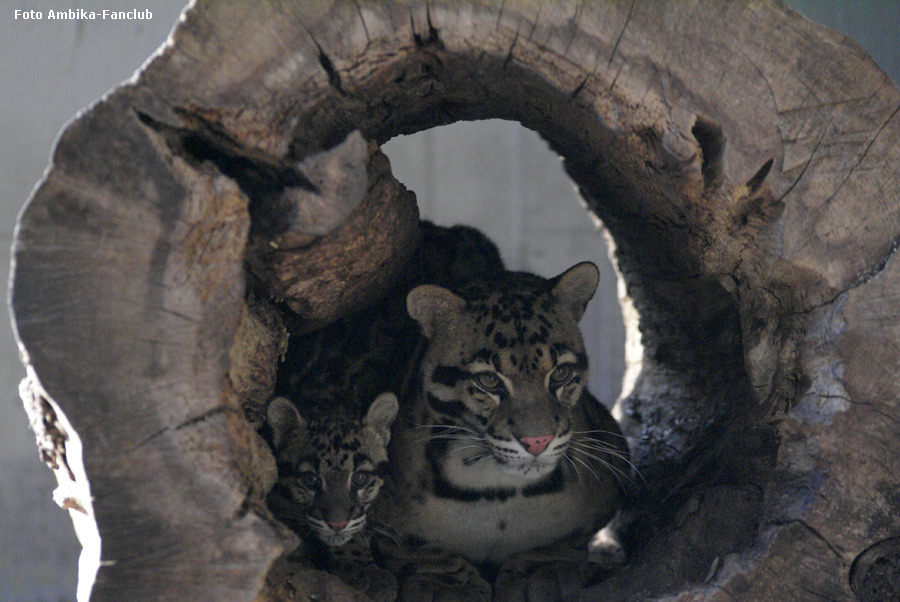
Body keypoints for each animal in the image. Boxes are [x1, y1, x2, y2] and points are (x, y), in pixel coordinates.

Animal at [376, 262, 628, 600]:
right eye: (489, 381)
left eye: (561, 373)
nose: (538, 441)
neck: (499, 492)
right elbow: (416, 549)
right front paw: (446, 585)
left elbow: (565, 541)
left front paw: (539, 569)